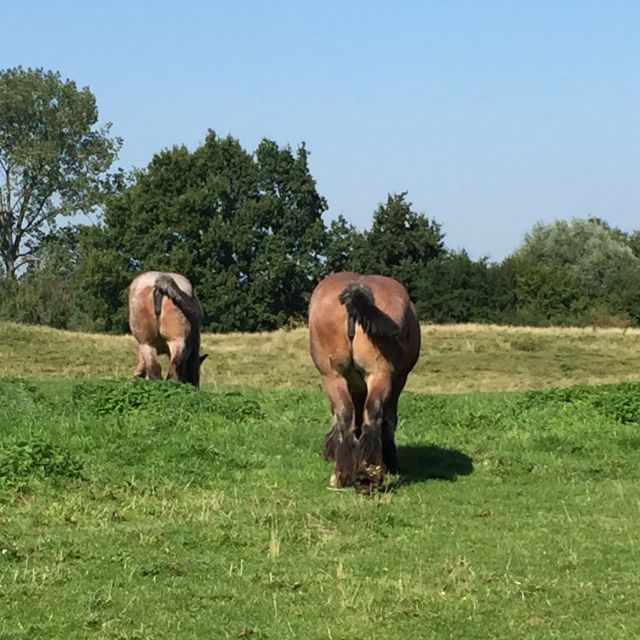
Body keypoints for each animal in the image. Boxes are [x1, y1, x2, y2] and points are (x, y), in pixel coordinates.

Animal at [308, 272, 422, 492]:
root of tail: (358, 289)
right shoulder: (398, 380)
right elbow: (389, 418)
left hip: (332, 376)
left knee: (345, 413)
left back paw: (343, 473)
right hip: (379, 374)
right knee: (373, 413)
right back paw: (368, 474)